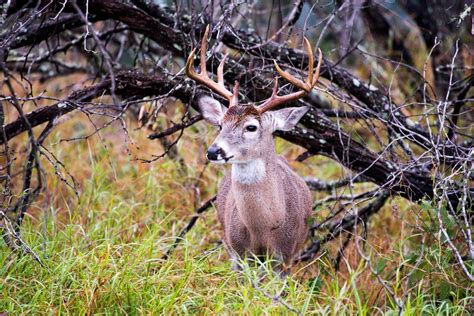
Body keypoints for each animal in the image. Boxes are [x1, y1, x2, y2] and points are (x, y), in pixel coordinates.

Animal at [185, 25, 322, 272]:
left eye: (251, 127)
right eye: (221, 125)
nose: (213, 151)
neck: (264, 228)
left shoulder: (284, 257)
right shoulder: (239, 254)